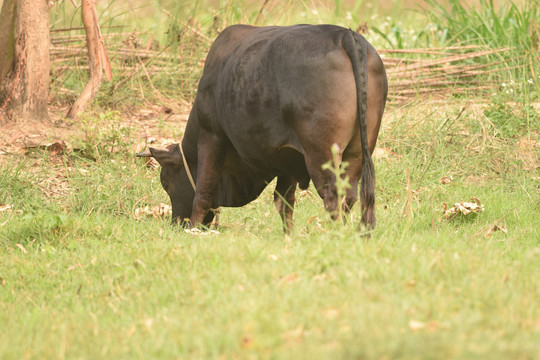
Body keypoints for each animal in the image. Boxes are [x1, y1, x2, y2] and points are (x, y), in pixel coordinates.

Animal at [137, 24, 386, 233]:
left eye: (166, 182)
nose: (176, 224)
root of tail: (343, 34)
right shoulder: (288, 158)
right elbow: (284, 202)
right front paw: (289, 236)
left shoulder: (211, 136)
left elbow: (203, 191)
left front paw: (194, 229)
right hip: (357, 150)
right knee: (351, 195)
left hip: (321, 153)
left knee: (334, 196)